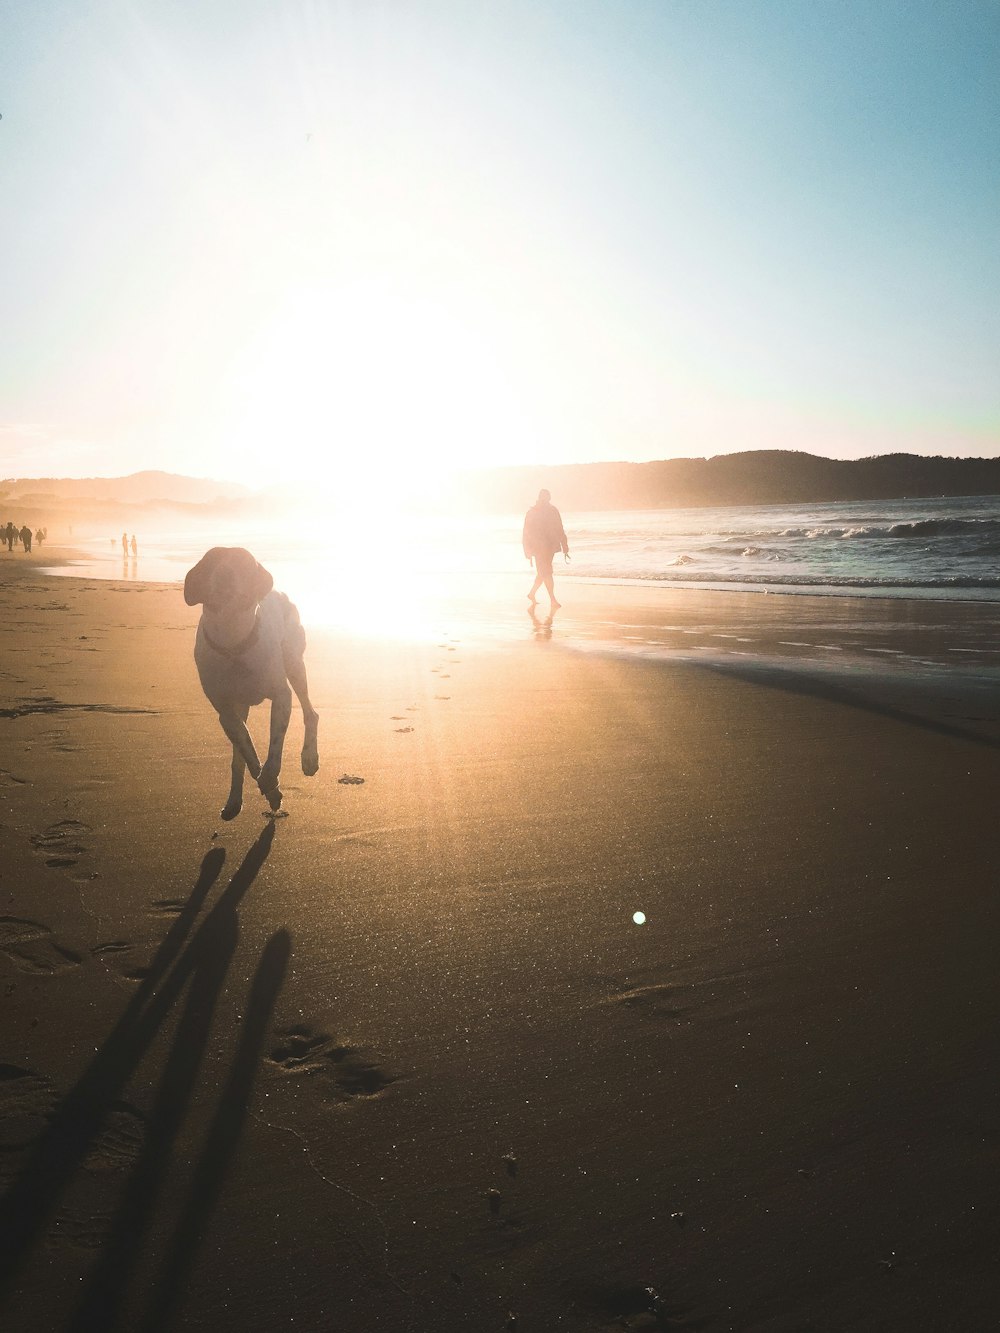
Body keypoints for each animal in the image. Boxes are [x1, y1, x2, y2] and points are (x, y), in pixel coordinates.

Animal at [182, 546, 317, 815]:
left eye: (244, 563)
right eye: (210, 562)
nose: (225, 573)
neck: (233, 644)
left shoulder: (281, 696)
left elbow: (274, 750)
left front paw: (270, 779)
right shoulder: (226, 712)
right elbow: (247, 753)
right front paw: (270, 790)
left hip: (294, 662)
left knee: (310, 713)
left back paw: (309, 758)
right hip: (241, 706)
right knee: (239, 758)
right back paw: (234, 801)